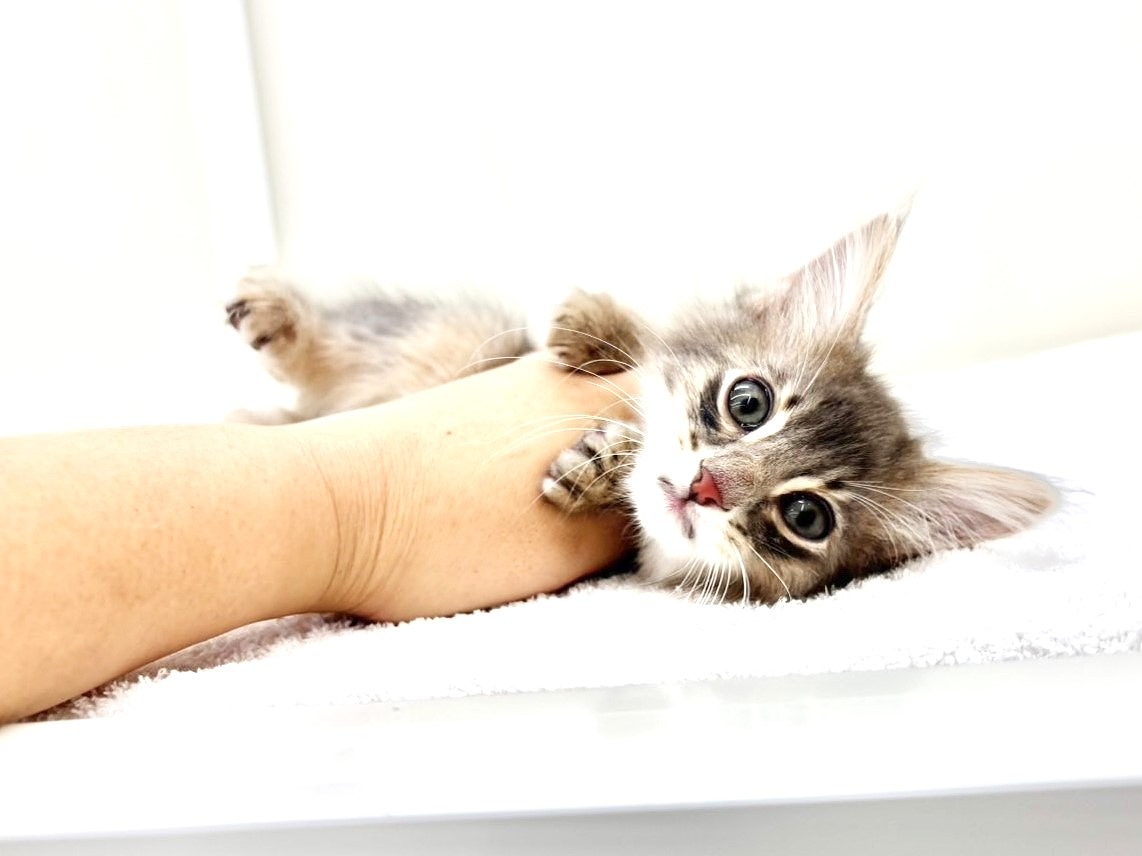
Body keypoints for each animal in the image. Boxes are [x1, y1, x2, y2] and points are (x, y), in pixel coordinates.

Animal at [226, 208, 1057, 603]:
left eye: (806, 517)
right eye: (748, 403)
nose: (708, 487)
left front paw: (599, 461)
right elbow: (634, 345)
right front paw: (596, 328)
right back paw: (277, 323)